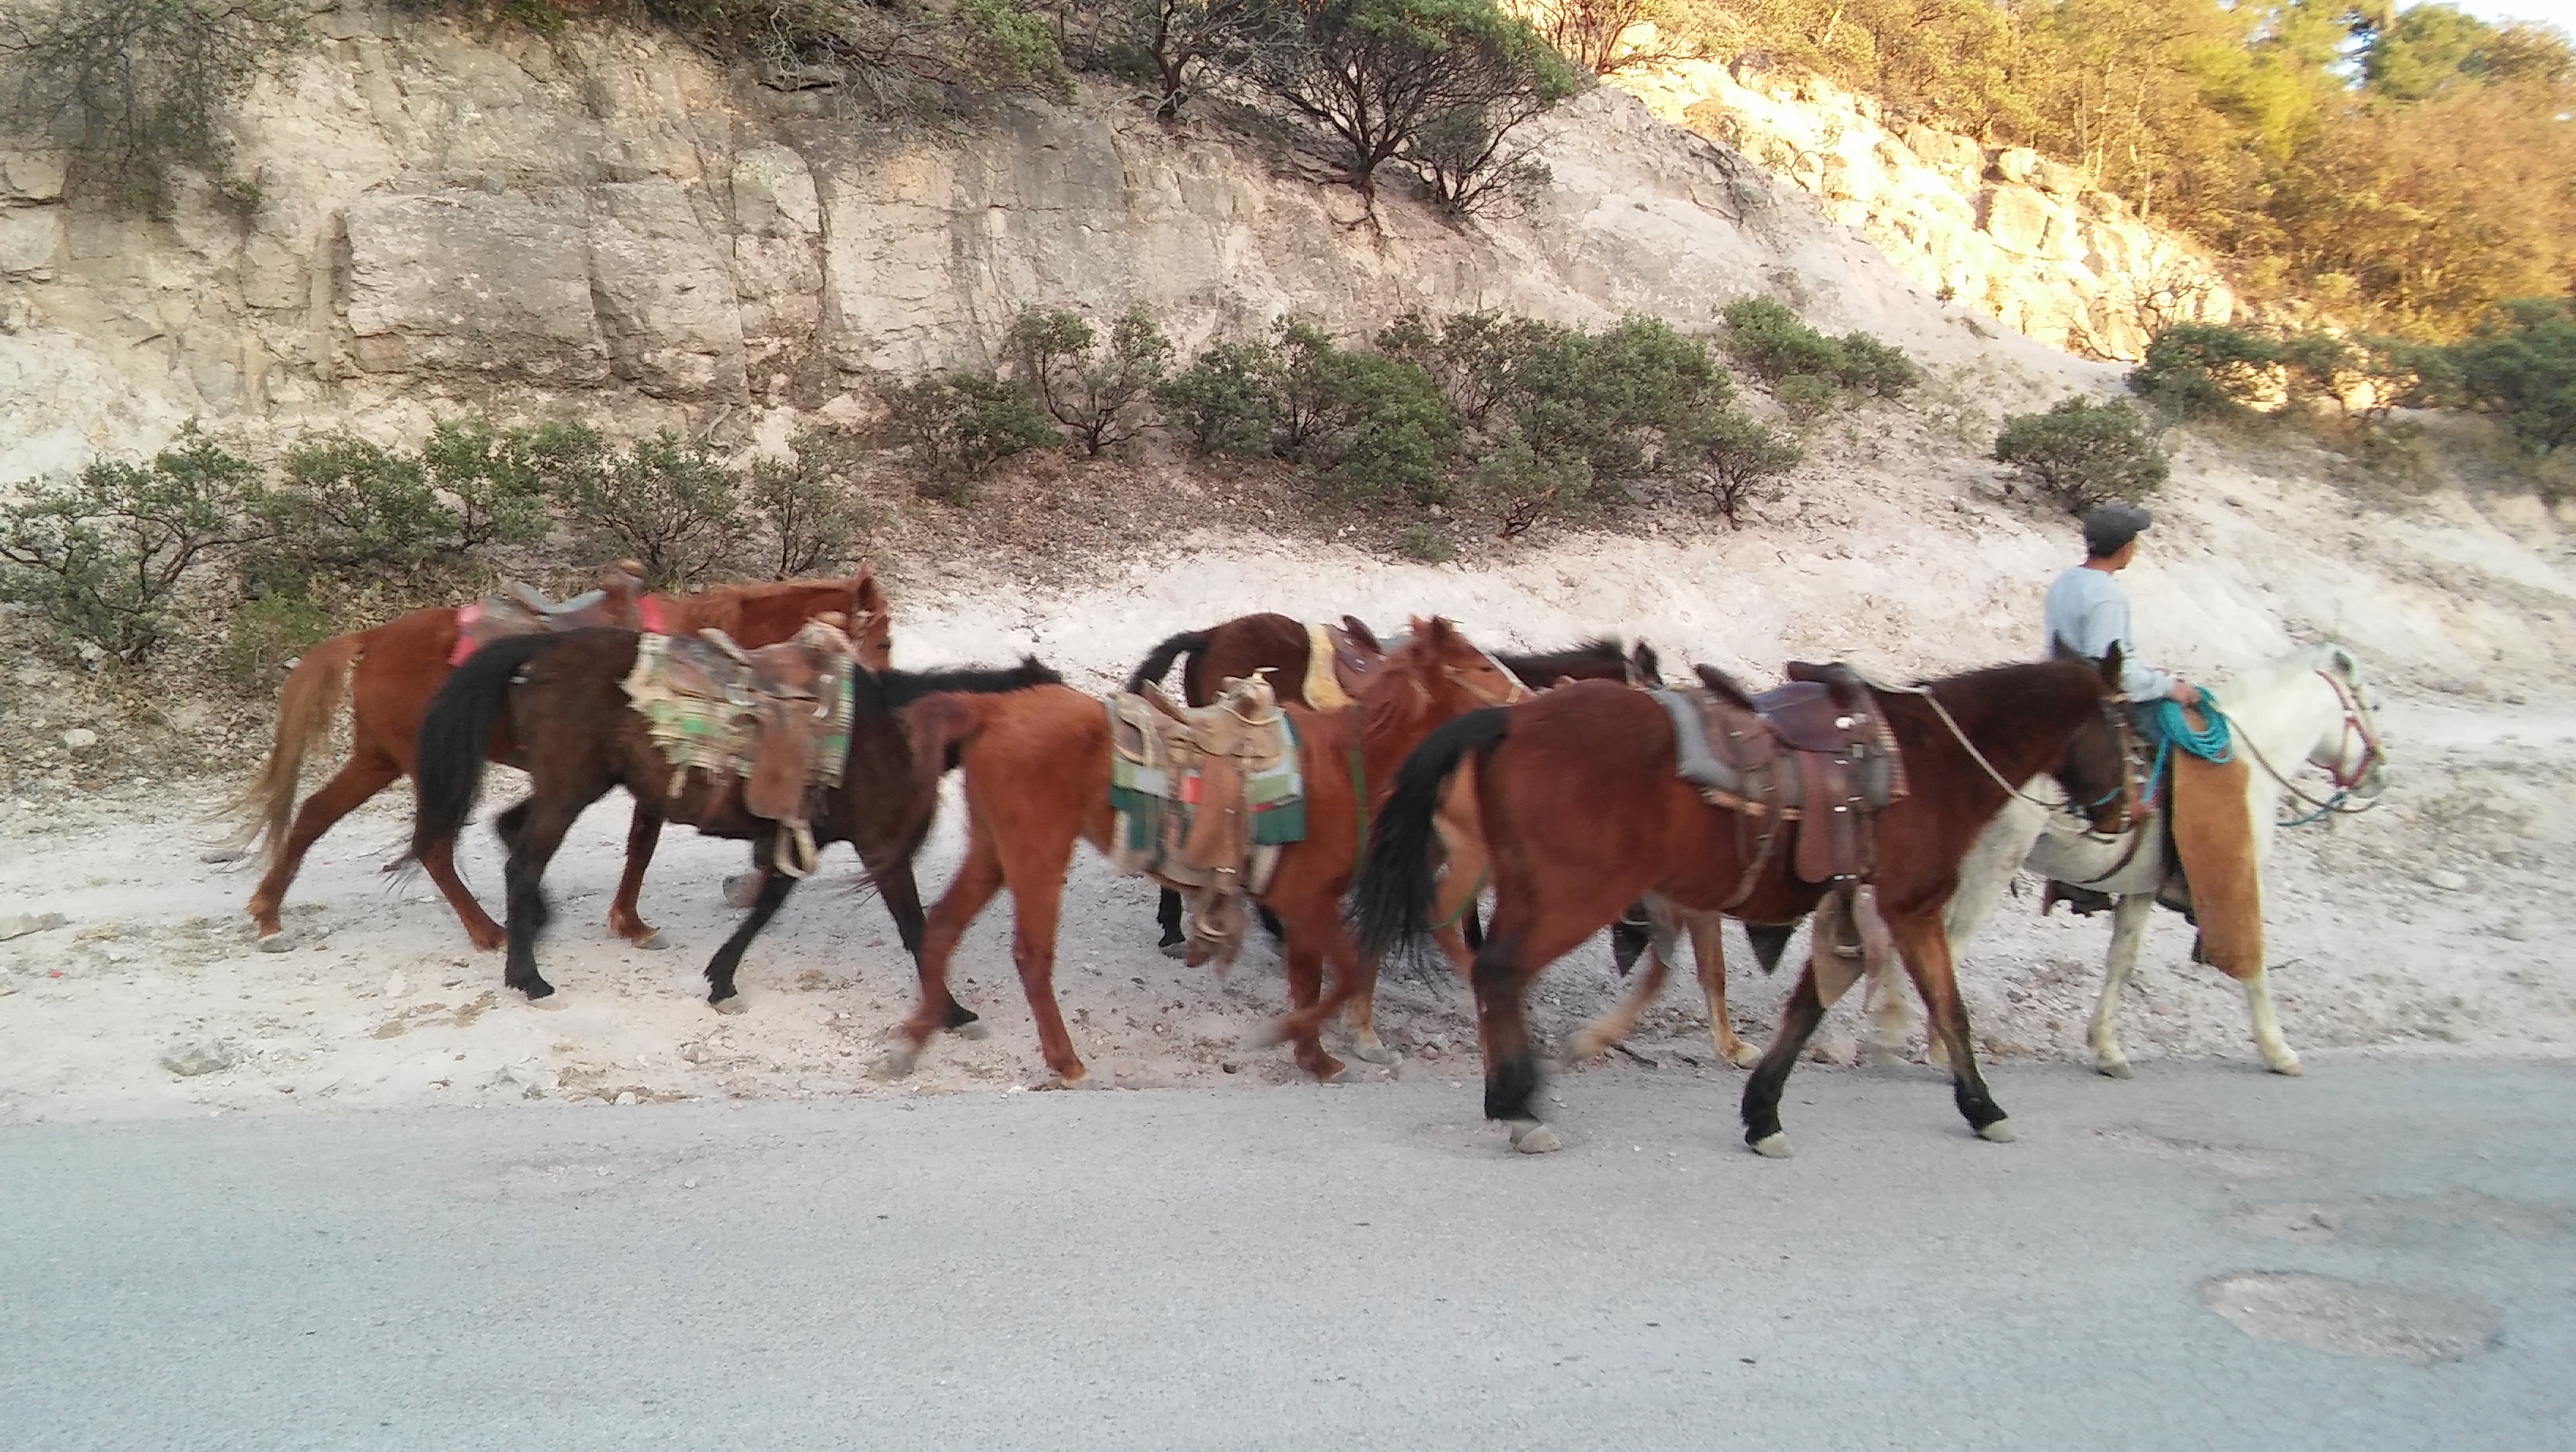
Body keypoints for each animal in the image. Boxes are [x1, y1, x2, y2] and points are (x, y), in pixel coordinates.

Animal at [229, 573, 891, 952]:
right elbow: (643, 844)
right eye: (883, 639)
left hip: (379, 759)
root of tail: (372, 638)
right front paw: (630, 923)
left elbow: (639, 843)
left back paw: (268, 912)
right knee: (432, 846)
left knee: (314, 816)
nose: (880, 697)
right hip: (425, 765)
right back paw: (487, 932)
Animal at [403, 627, 1057, 1008]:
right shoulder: (878, 848)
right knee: (522, 861)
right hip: (570, 787)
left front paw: (721, 978)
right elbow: (914, 928)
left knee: (510, 832)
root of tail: (541, 650)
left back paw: (534, 928)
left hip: (575, 783)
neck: (890, 731)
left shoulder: (797, 838)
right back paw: (528, 976)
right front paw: (952, 1012)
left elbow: (767, 905)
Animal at [883, 618, 1527, 1087]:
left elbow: (1313, 977)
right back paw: (1065, 1061)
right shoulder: (1305, 899)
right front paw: (1293, 1040)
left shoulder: (1305, 904)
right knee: (1031, 956)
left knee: (941, 929)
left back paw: (912, 1042)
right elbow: (1341, 975)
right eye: (1478, 665)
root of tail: (990, 709)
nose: (1526, 702)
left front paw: (1313, 1057)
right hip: (1037, 853)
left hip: (992, 849)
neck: (1347, 763)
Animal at [1349, 653, 2136, 1156]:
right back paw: (1518, 1105)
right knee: (1500, 972)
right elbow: (1949, 1007)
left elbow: (1809, 1006)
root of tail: (1511, 721)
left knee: (1494, 972)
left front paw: (1762, 1115)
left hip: (1532, 886)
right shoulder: (1912, 905)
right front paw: (1984, 1108)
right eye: (2132, 736)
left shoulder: (1848, 907)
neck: (1927, 759)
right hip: (1576, 894)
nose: (2127, 814)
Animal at [1873, 642, 2389, 1079]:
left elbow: (2121, 960)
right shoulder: (2238, 878)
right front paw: (2277, 1049)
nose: (2380, 773)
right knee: (1947, 940)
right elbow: (2254, 964)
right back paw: (1932, 1045)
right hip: (1989, 868)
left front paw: (2107, 1048)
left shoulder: (2141, 887)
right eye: (2369, 701)